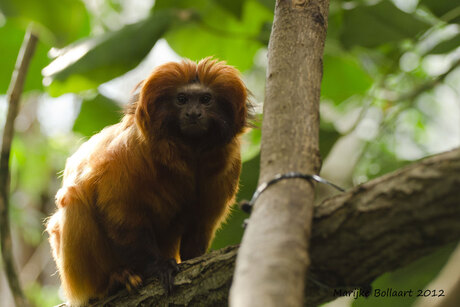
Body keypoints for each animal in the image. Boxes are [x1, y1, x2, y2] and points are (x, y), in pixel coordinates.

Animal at [45, 57, 250, 306]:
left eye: (205, 99)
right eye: (182, 100)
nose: (193, 113)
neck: (188, 153)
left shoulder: (228, 165)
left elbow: (202, 222)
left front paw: (195, 258)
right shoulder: (127, 154)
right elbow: (120, 213)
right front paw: (157, 266)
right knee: (73, 198)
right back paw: (113, 281)